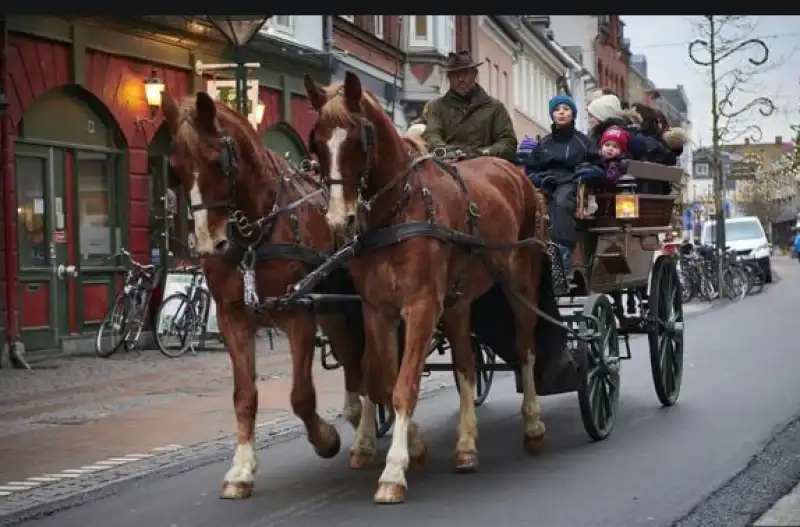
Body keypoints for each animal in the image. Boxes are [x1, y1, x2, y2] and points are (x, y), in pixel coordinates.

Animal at [163, 93, 368, 502]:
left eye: (218, 161)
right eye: (175, 167)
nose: (207, 243)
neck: (254, 235)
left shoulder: (297, 313)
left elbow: (301, 395)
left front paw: (326, 439)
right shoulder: (232, 318)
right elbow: (244, 395)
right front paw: (241, 469)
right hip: (333, 309)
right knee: (354, 360)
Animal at [304, 72, 552, 506]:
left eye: (357, 141)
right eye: (317, 143)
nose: (338, 220)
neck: (399, 211)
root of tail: (518, 175)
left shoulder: (420, 307)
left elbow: (404, 387)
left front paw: (393, 472)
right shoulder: (377, 310)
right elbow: (380, 380)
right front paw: (413, 450)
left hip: (522, 282)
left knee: (525, 350)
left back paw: (533, 426)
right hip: (458, 301)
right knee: (466, 363)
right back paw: (466, 447)